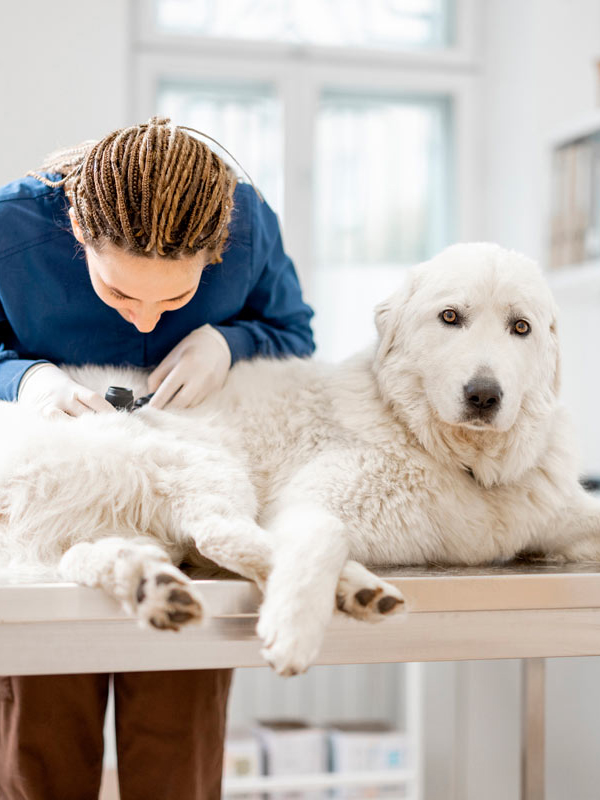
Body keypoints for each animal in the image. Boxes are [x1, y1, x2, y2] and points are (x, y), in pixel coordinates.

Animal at [1, 242, 600, 676]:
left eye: (520, 327)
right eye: (450, 317)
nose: (483, 395)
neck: (455, 457)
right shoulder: (312, 501)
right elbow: (318, 538)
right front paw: (294, 626)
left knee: (95, 555)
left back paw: (153, 587)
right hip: (200, 460)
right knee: (219, 534)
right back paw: (352, 586)